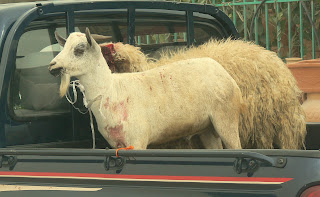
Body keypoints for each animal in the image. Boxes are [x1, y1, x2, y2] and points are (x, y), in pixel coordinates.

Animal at [48, 28, 242, 149]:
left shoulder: (138, 140)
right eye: (63, 47)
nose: (52, 67)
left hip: (226, 119)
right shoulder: (117, 143)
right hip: (207, 128)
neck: (110, 90)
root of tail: (218, 67)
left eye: (79, 49)